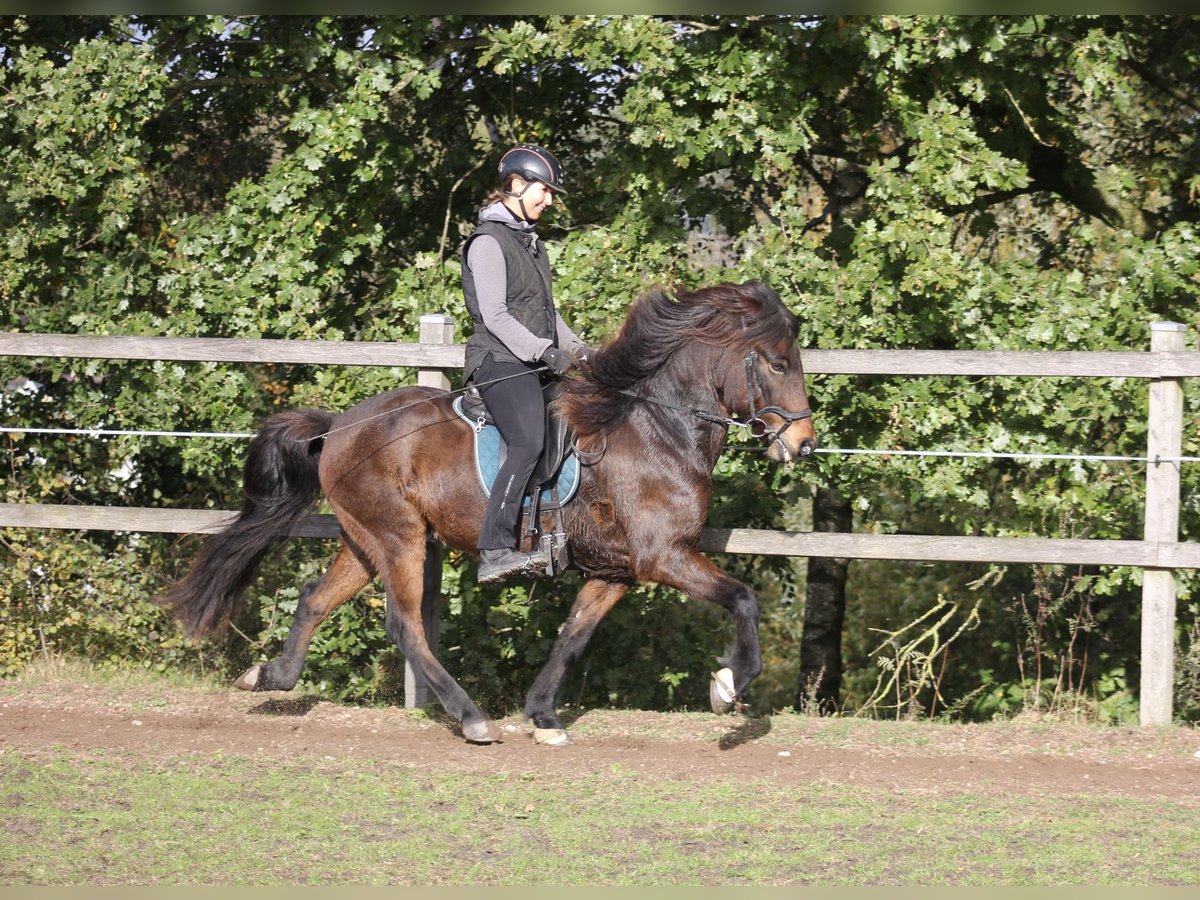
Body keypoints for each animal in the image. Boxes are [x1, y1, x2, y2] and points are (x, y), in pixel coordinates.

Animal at [162, 280, 816, 748]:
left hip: (366, 540)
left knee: (316, 600)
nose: (803, 445)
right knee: (404, 624)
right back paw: (471, 717)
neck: (658, 429)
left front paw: (544, 715)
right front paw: (728, 687)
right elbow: (743, 598)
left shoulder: (616, 571)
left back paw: (270, 677)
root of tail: (338, 427)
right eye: (777, 364)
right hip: (400, 540)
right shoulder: (664, 557)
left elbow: (573, 638)